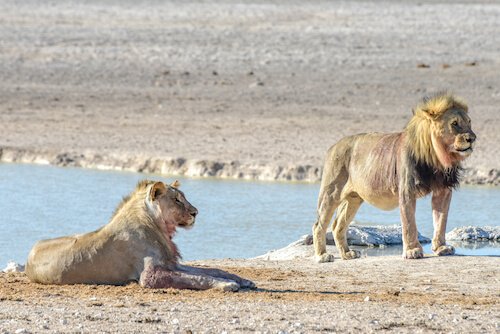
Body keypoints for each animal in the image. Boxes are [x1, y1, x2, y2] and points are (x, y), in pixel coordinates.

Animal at [24, 179, 254, 290]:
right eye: (177, 199)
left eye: (184, 198)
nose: (195, 212)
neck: (158, 226)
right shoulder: (149, 276)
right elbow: (197, 278)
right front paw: (227, 285)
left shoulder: (171, 264)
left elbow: (211, 270)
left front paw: (243, 281)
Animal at [312, 92, 476, 262]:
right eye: (455, 123)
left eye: (469, 122)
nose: (472, 138)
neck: (437, 157)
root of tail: (333, 146)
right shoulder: (407, 190)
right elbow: (409, 223)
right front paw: (412, 251)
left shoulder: (443, 191)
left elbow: (440, 221)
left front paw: (441, 248)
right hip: (331, 193)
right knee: (318, 225)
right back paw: (322, 255)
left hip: (354, 199)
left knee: (338, 225)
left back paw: (347, 254)